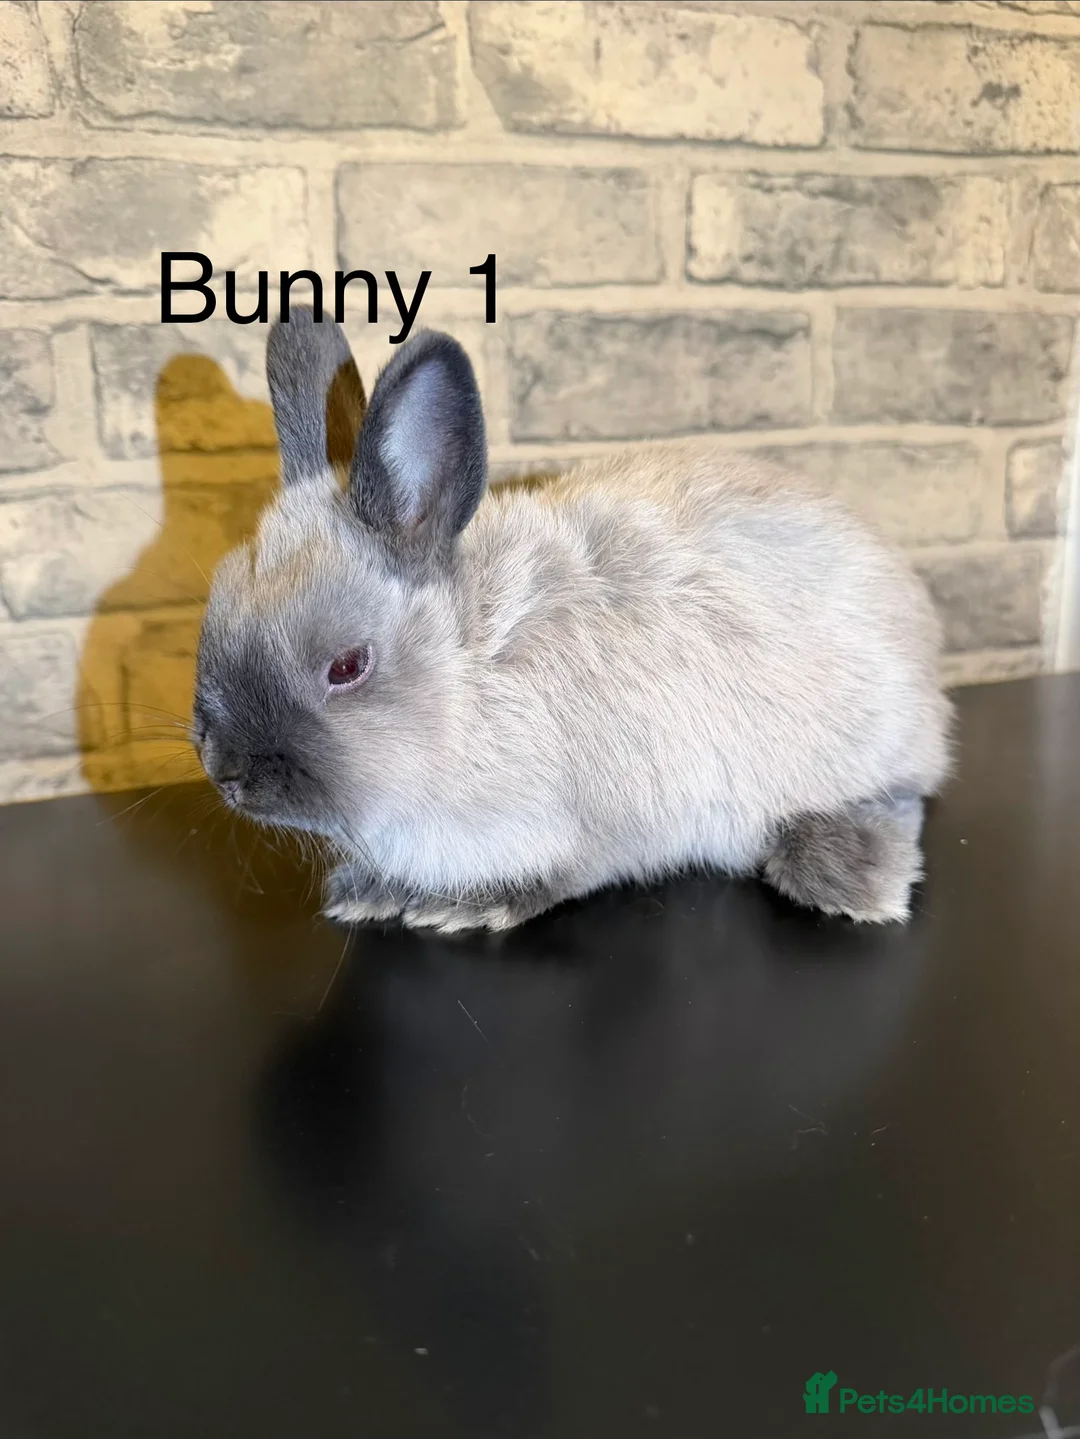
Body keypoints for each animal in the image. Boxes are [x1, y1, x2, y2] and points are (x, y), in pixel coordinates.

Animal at [192, 307, 952, 934]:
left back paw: (851, 880)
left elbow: (563, 872)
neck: (474, 679)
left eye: (347, 667)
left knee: (900, 797)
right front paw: (368, 891)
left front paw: (465, 906)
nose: (224, 772)